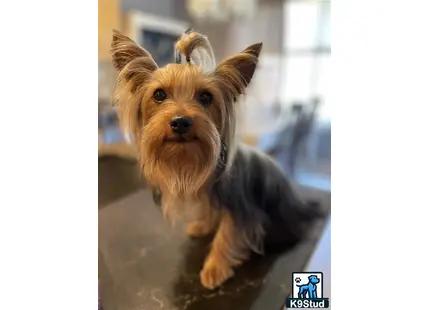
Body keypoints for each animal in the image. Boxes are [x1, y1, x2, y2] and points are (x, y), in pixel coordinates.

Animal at [109, 30, 320, 290]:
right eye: (159, 95)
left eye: (206, 97)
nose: (181, 121)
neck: (190, 158)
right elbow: (210, 213)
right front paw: (202, 226)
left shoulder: (240, 206)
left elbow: (228, 233)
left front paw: (215, 269)